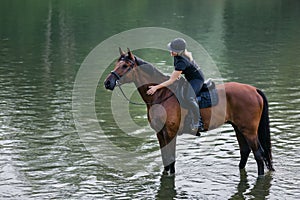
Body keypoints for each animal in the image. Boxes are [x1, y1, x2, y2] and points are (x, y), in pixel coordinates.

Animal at [103, 47, 274, 176]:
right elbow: (165, 158)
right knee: (245, 152)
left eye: (125, 66)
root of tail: (254, 90)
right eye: (117, 63)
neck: (161, 95)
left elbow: (171, 158)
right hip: (239, 128)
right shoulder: (160, 133)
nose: (107, 83)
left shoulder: (170, 133)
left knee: (259, 154)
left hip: (249, 131)